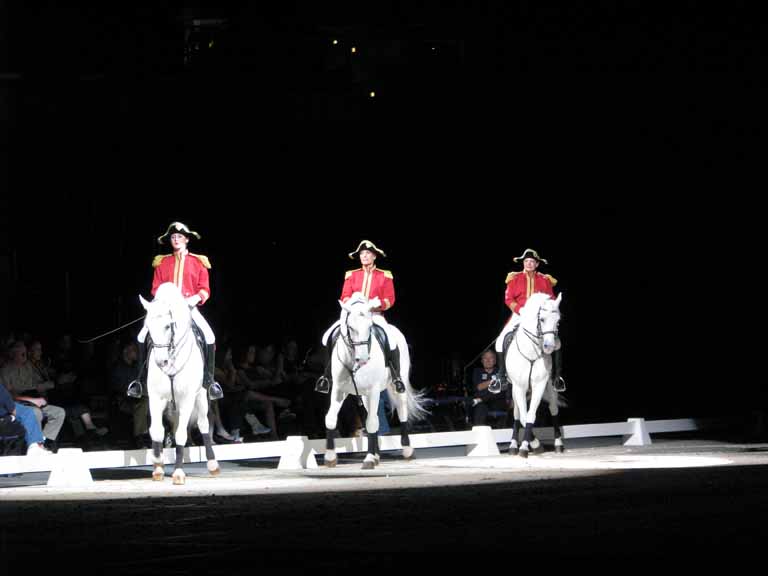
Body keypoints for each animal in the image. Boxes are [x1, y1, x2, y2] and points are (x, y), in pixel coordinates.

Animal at [140, 282, 219, 484]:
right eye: (148, 326)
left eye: (168, 326)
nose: (161, 362)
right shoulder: (156, 398)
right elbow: (157, 430)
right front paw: (158, 465)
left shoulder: (187, 399)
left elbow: (182, 434)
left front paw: (178, 473)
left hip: (201, 396)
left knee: (203, 424)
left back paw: (212, 465)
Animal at [320, 292, 428, 468]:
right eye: (351, 328)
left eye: (370, 327)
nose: (363, 359)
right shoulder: (339, 390)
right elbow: (330, 418)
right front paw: (330, 457)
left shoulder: (373, 389)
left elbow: (371, 422)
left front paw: (369, 458)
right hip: (365, 395)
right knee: (375, 417)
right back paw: (378, 455)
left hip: (395, 385)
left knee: (401, 410)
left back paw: (407, 450)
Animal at [504, 292, 564, 460]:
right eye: (542, 319)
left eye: (558, 321)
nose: (549, 346)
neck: (531, 350)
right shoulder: (519, 387)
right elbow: (523, 417)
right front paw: (532, 445)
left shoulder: (539, 385)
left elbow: (531, 416)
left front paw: (528, 446)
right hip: (514, 389)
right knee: (517, 414)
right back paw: (513, 445)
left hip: (551, 386)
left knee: (553, 409)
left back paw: (558, 444)